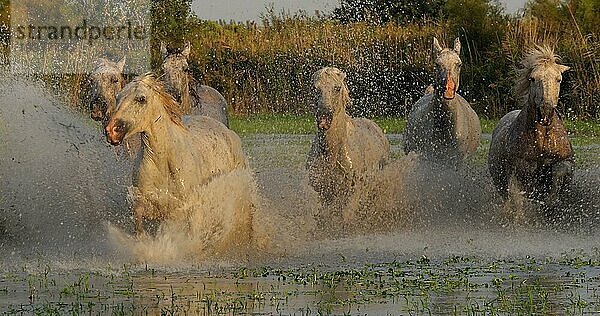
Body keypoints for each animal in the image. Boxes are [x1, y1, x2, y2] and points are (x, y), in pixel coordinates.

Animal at [103, 74, 246, 237]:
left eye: (141, 99)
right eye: (118, 97)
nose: (111, 131)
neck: (163, 163)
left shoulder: (187, 210)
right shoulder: (146, 205)